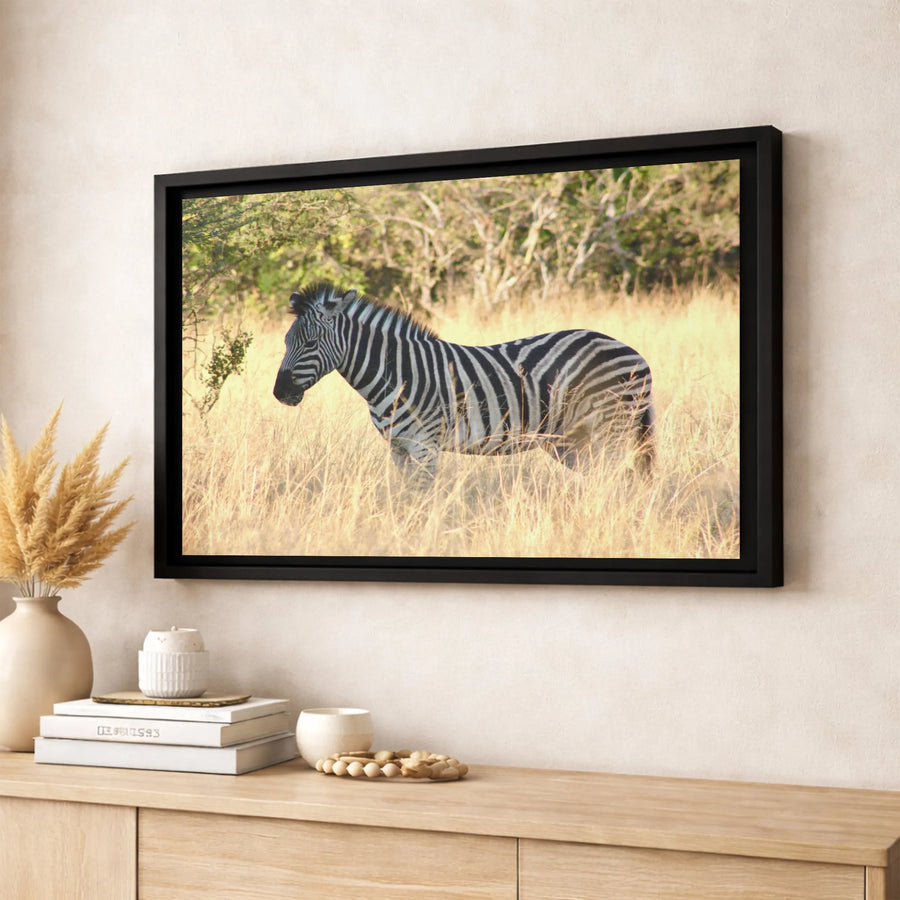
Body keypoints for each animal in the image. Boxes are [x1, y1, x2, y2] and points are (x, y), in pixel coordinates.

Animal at [273, 282, 654, 479]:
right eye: (285, 342)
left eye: (310, 343)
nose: (280, 393)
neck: (395, 375)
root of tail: (634, 352)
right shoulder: (398, 448)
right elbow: (401, 500)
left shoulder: (424, 447)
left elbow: (421, 502)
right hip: (574, 439)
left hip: (610, 428)